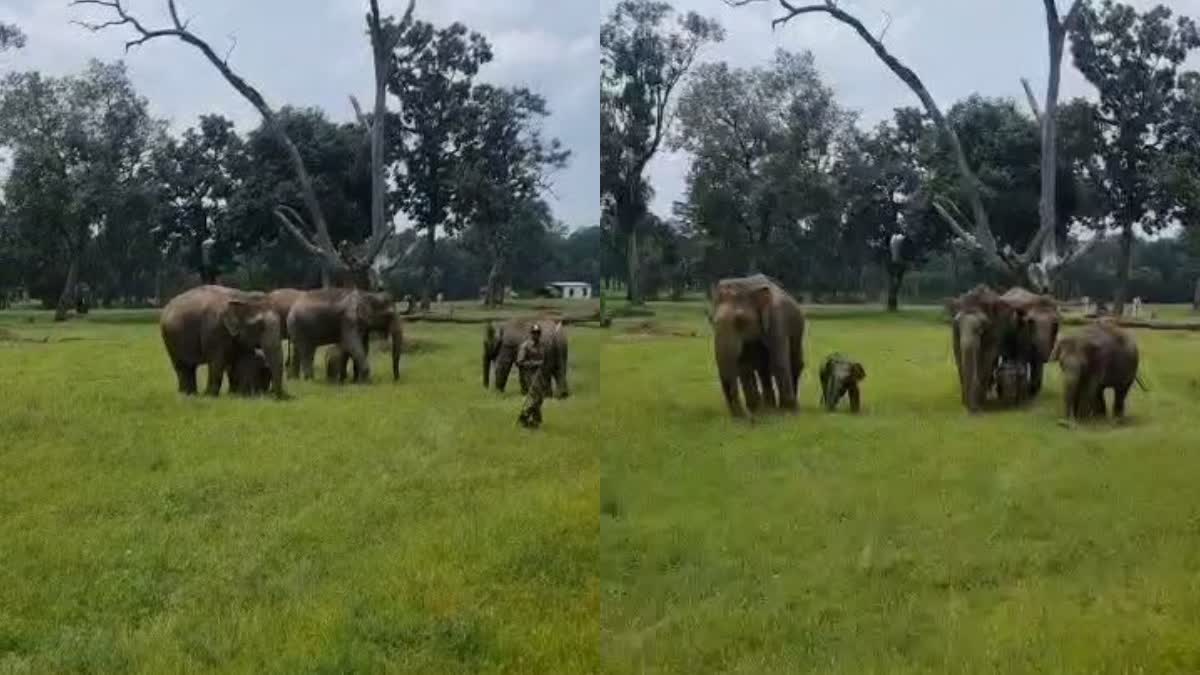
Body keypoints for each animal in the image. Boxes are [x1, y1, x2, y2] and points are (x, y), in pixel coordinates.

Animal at [158, 282, 286, 396]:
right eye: (260, 326)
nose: (274, 394)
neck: (242, 297)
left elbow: (243, 359)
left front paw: (236, 394)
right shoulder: (215, 330)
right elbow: (217, 362)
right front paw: (209, 395)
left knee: (189, 367)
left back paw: (191, 394)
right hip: (169, 337)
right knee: (182, 366)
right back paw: (187, 394)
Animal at [710, 273, 806, 415]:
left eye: (740, 321)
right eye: (711, 320)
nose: (743, 417)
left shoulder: (777, 321)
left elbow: (779, 362)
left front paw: (789, 413)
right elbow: (744, 366)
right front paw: (757, 411)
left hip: (797, 331)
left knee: (795, 364)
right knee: (763, 370)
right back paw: (768, 409)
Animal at [950, 282, 1017, 410]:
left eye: (981, 327)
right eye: (958, 324)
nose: (972, 409)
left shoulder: (995, 328)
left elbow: (986, 356)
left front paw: (980, 401)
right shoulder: (954, 331)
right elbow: (958, 355)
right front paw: (965, 402)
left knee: (992, 360)